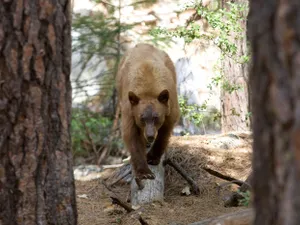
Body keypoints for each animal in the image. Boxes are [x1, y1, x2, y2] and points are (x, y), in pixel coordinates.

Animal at [116, 43, 179, 181]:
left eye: (156, 117)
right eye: (142, 118)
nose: (150, 135)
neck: (148, 89)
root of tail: (144, 44)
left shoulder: (170, 105)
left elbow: (165, 131)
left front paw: (152, 158)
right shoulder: (130, 109)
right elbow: (132, 135)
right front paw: (144, 172)